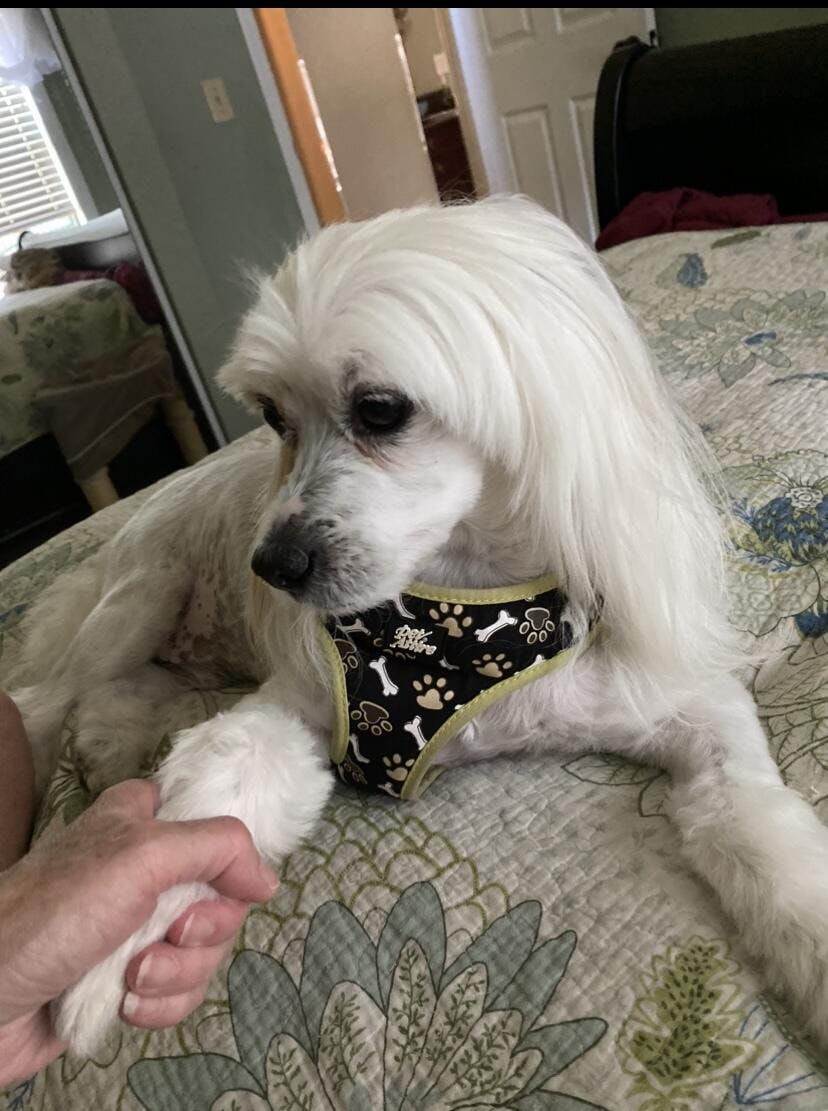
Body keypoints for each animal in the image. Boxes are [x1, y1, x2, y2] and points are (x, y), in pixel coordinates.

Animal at [13, 196, 828, 1057]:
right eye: (272, 416)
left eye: (380, 407)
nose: (272, 564)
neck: (456, 613)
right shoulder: (300, 708)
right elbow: (221, 785)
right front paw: (108, 945)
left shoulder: (683, 707)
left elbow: (749, 815)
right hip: (141, 594)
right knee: (47, 697)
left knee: (122, 697)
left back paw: (113, 747)